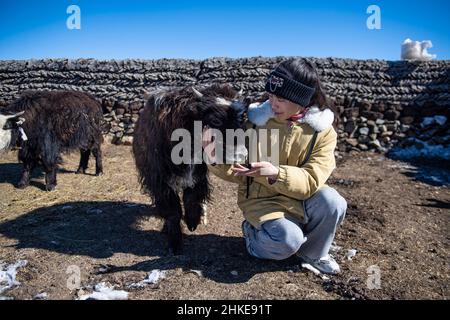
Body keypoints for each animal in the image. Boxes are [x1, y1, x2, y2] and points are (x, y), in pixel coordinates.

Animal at [134, 84, 248, 252]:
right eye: (215, 119)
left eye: (242, 118)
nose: (240, 154)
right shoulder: (160, 181)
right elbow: (172, 210)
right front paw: (175, 243)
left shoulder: (197, 174)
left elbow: (191, 198)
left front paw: (192, 222)